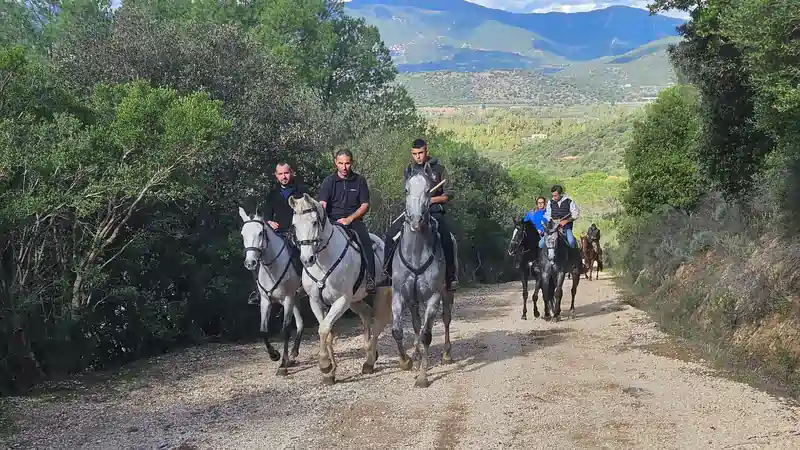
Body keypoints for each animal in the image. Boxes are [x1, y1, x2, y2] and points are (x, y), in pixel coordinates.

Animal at [238, 206, 305, 376]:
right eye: (243, 234)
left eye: (260, 233)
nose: (250, 263)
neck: (272, 267)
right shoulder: (265, 301)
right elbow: (263, 330)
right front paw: (274, 355)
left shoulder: (287, 299)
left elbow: (285, 330)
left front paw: (282, 365)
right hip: (296, 299)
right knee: (301, 323)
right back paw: (293, 355)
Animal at [288, 193, 393, 385]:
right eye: (294, 225)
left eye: (314, 222)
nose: (307, 259)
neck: (324, 261)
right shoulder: (316, 301)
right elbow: (326, 331)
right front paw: (330, 371)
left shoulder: (341, 300)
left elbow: (324, 329)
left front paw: (324, 365)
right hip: (355, 300)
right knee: (366, 315)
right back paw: (370, 354)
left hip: (379, 295)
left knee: (378, 324)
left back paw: (369, 362)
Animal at [389, 169, 458, 388]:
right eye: (406, 190)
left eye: (429, 191)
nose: (416, 221)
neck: (416, 252)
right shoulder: (399, 293)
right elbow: (398, 330)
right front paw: (406, 361)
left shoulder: (433, 296)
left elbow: (427, 335)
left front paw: (422, 376)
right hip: (413, 300)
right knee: (416, 324)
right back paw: (417, 354)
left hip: (447, 292)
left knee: (446, 319)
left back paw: (446, 354)